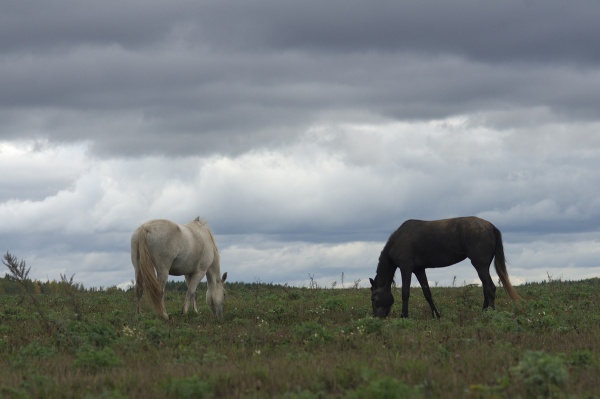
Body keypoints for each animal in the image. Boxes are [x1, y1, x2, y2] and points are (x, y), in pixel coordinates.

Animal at [368, 217, 516, 320]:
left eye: (373, 298)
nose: (376, 317)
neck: (398, 241)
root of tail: (491, 226)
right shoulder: (419, 270)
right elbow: (427, 293)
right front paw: (436, 315)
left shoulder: (406, 268)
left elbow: (405, 293)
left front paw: (404, 315)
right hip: (483, 267)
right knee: (486, 288)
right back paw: (483, 311)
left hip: (480, 265)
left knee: (490, 288)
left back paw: (489, 314)